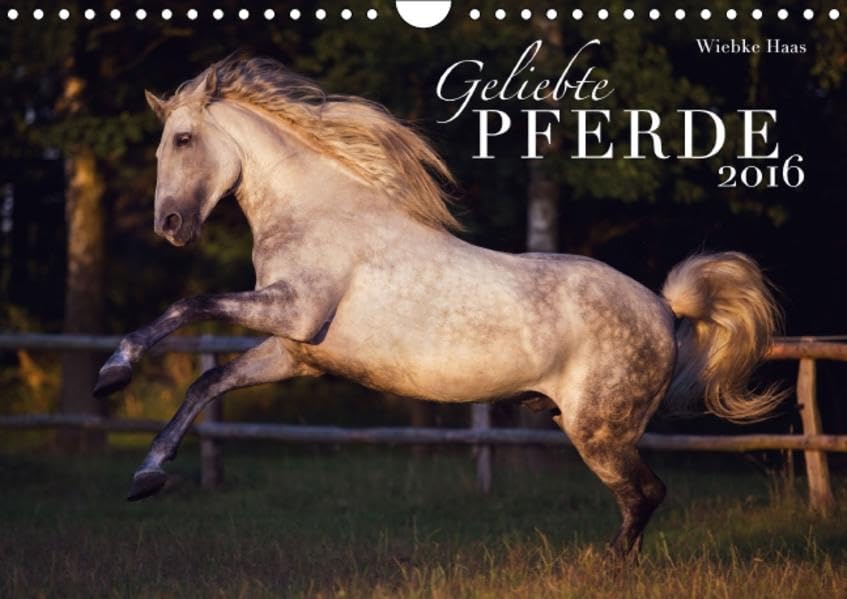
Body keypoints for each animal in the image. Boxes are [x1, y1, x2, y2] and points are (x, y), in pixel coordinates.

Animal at [94, 55, 783, 560]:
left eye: (183, 139)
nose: (170, 226)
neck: (321, 211)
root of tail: (665, 309)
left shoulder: (293, 311)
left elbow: (188, 305)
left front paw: (112, 373)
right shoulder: (296, 351)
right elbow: (206, 383)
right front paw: (146, 476)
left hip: (599, 432)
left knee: (645, 494)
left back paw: (608, 566)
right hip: (591, 428)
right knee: (642, 496)